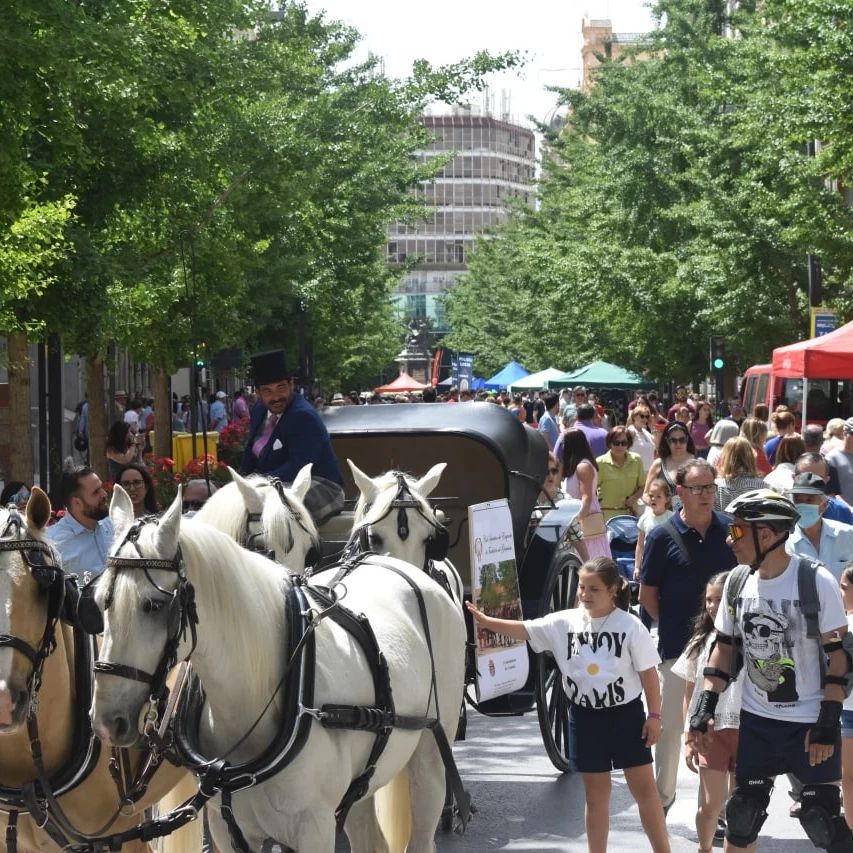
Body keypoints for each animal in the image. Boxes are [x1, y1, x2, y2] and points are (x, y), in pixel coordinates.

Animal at [91, 490, 466, 848]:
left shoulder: (314, 829)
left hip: (430, 759)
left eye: (154, 605)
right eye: (97, 602)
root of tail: (392, 564)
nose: (108, 723)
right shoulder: (228, 829)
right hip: (363, 784)